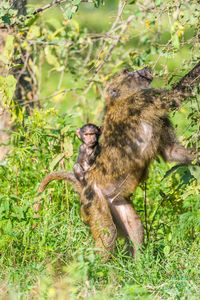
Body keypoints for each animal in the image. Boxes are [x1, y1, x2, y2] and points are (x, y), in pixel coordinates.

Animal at [37, 62, 200, 260]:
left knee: (135, 225)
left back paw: (138, 264)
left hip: (115, 201)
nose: (145, 68)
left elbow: (171, 151)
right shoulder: (144, 99)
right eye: (126, 71)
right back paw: (97, 266)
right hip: (94, 200)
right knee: (108, 233)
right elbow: (177, 95)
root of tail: (85, 182)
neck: (121, 97)